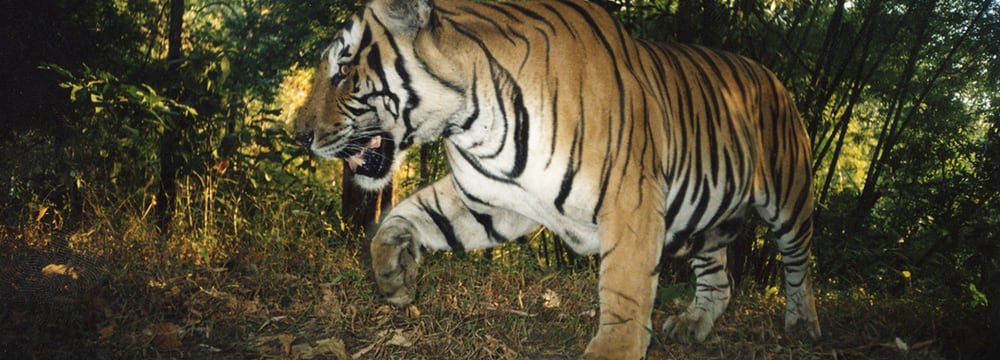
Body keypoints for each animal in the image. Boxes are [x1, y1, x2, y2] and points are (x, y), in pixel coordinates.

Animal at [292, 0, 824, 356]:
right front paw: (395, 278)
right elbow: (402, 217)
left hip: (790, 199)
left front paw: (613, 351)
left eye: (343, 71)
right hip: (704, 224)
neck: (471, 119)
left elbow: (624, 291)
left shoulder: (630, 199)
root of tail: (771, 74)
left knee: (799, 264)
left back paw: (803, 324)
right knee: (719, 279)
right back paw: (693, 324)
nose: (298, 135)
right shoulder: (488, 203)